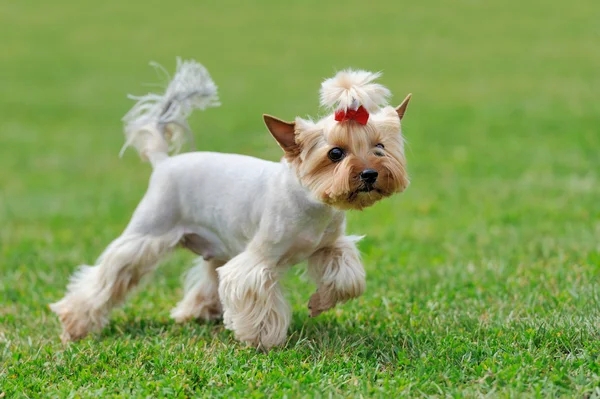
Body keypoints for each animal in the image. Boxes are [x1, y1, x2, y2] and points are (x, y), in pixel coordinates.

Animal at [50, 58, 412, 350]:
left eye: (380, 147)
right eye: (335, 153)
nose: (369, 174)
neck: (311, 202)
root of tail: (163, 161)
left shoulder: (331, 246)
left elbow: (348, 279)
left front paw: (319, 303)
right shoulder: (258, 259)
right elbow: (256, 296)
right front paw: (262, 339)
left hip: (218, 244)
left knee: (208, 278)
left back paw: (196, 312)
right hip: (148, 232)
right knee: (106, 276)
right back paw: (74, 324)